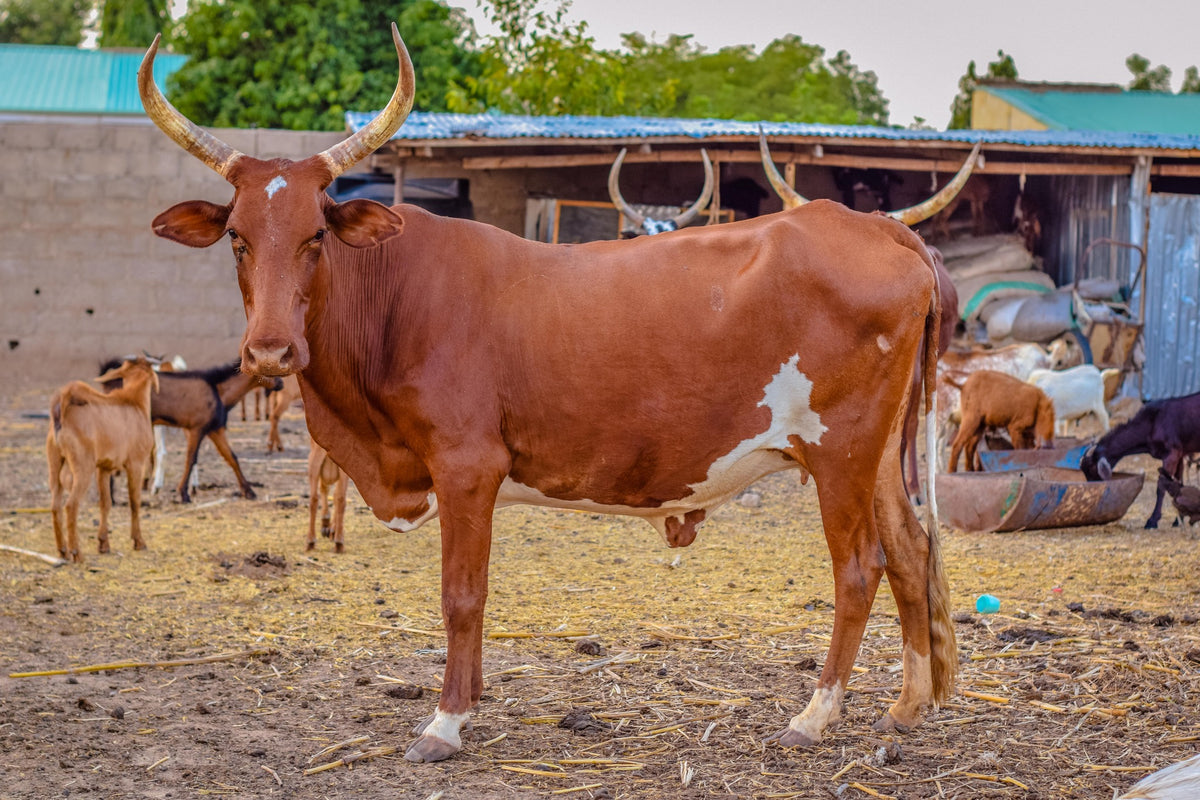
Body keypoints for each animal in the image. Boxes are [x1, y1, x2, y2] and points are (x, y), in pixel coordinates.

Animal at [140, 25, 972, 763]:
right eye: (238, 238)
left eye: (316, 235)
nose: (269, 349)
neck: (394, 298)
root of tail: (879, 228)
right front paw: (468, 705)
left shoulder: (467, 467)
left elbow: (462, 594)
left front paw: (445, 723)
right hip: (876, 455)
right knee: (910, 549)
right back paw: (908, 705)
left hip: (840, 450)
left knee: (859, 567)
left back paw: (814, 716)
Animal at [1080, 391, 1200, 529]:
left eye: (1092, 469)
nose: (1091, 491)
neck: (1152, 423)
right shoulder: (1180, 454)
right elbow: (1179, 483)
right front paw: (1177, 520)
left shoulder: (1172, 454)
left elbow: (1161, 487)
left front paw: (1152, 521)